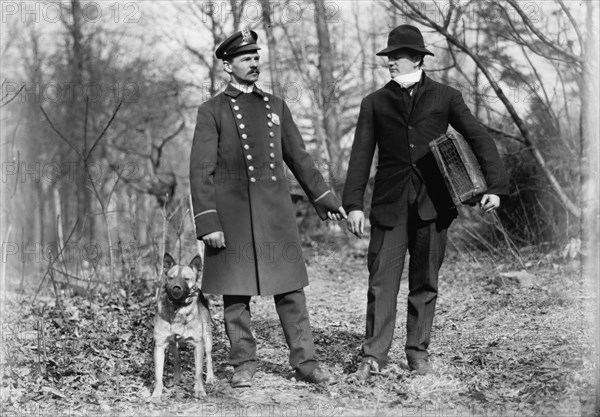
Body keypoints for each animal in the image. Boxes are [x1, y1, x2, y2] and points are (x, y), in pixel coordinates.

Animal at [151, 252, 214, 398]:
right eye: (171, 278)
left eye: (186, 279)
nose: (176, 288)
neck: (177, 309)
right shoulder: (160, 345)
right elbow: (158, 375)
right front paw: (156, 394)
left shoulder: (198, 344)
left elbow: (198, 372)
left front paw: (199, 390)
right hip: (172, 345)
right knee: (177, 360)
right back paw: (177, 379)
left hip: (207, 338)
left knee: (209, 358)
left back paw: (210, 378)